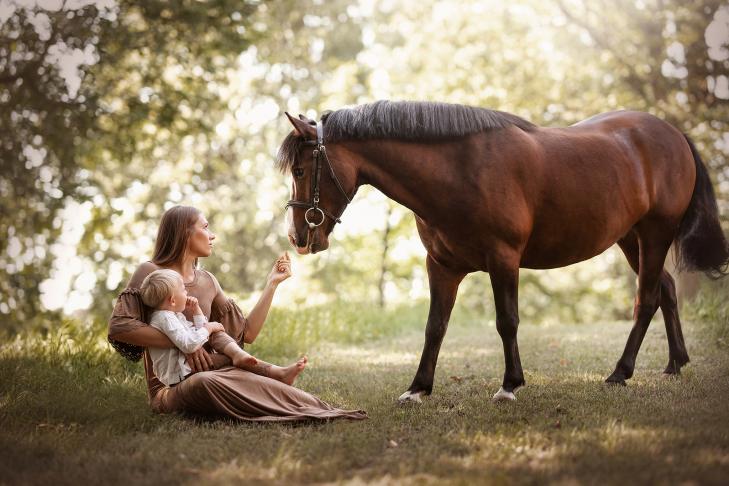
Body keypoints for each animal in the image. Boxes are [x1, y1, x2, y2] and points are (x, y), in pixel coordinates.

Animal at [274, 101, 728, 402]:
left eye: (301, 169)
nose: (298, 237)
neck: (460, 169)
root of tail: (674, 134)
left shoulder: (503, 259)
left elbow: (507, 321)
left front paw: (510, 384)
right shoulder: (441, 266)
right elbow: (435, 326)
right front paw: (418, 388)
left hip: (655, 234)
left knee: (647, 298)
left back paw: (621, 372)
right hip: (631, 239)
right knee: (666, 289)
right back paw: (675, 363)